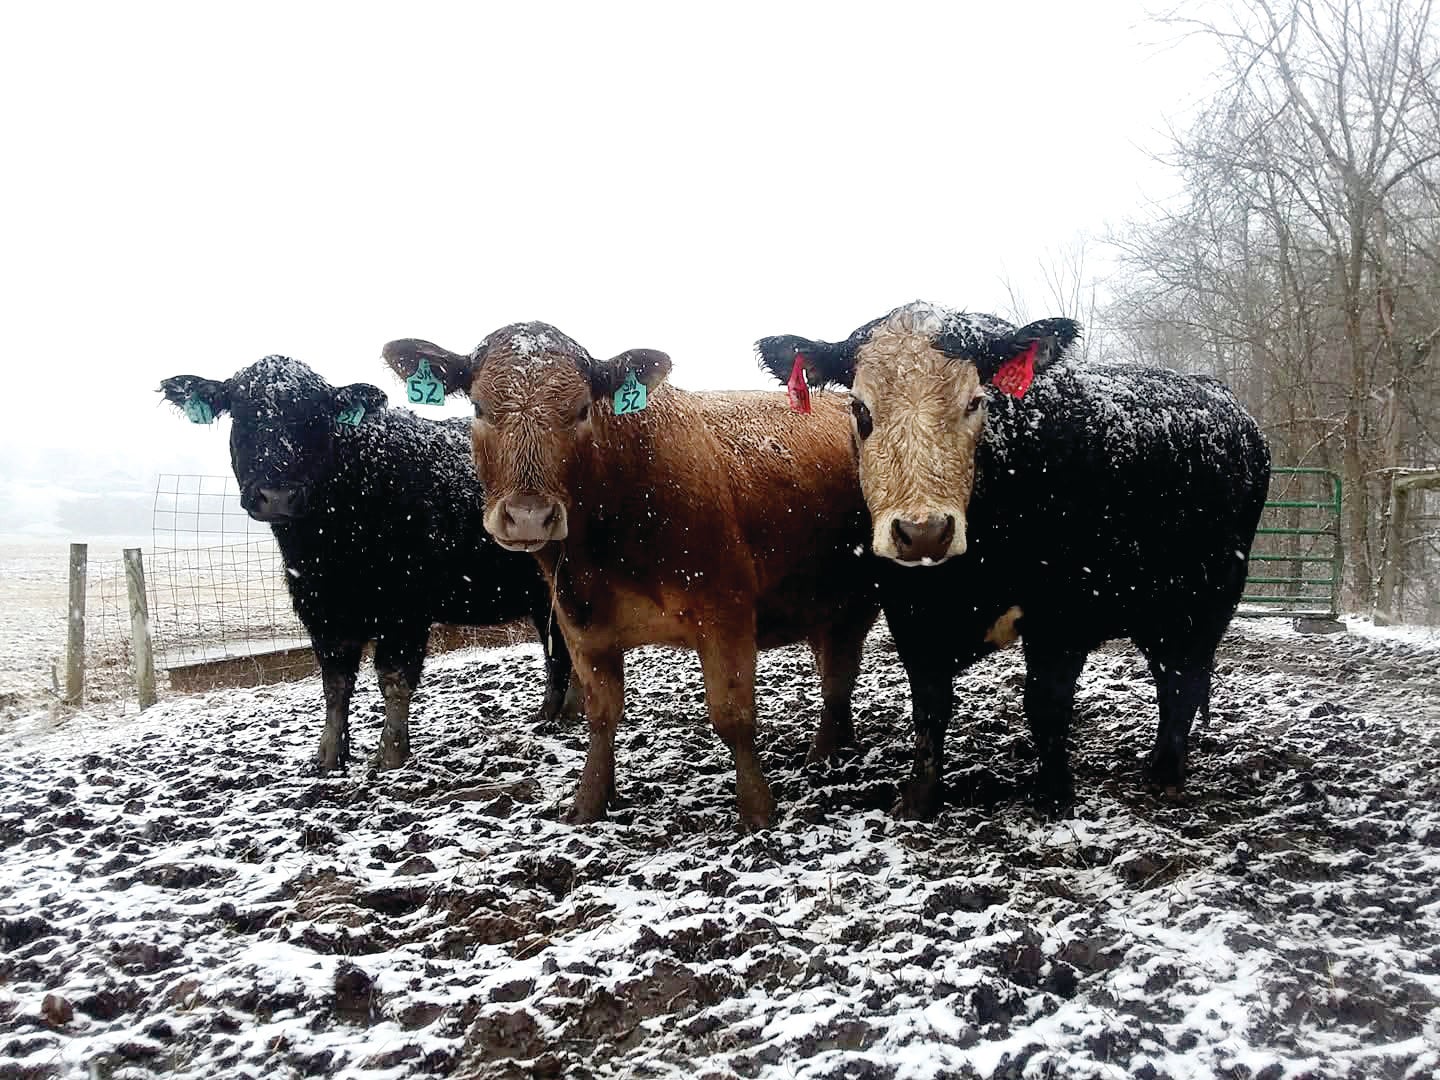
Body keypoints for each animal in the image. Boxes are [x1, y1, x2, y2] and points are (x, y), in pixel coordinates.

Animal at [159, 356, 577, 772]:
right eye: (241, 412)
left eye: (316, 416)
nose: (276, 494)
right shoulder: (320, 610)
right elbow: (335, 683)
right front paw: (329, 755)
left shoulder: (404, 608)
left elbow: (393, 676)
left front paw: (391, 753)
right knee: (562, 652)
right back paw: (554, 715)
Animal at [381, 324, 881, 830]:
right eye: (480, 408)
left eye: (581, 409)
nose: (528, 516)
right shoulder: (581, 625)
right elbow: (601, 716)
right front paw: (588, 802)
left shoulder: (725, 610)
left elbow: (733, 715)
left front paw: (757, 811)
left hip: (854, 601)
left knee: (838, 676)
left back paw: (824, 754)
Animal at [757, 301, 1271, 818]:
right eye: (861, 409)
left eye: (975, 402)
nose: (924, 532)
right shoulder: (909, 611)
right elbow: (930, 704)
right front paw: (919, 799)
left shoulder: (1063, 613)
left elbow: (1045, 704)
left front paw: (1054, 794)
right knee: (1170, 675)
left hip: (1207, 596)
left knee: (1184, 679)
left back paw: (1166, 774)